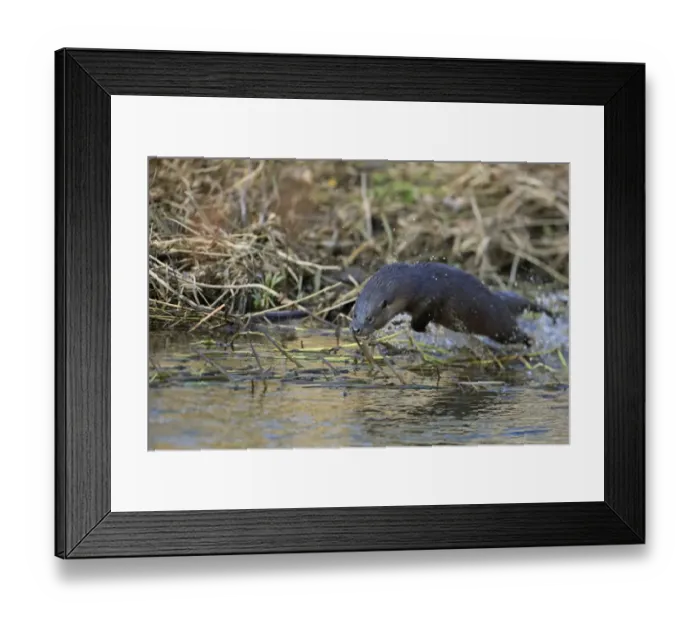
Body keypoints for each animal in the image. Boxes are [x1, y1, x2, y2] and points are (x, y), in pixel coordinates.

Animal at [350, 262, 552, 347]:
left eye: (370, 317)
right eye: (354, 314)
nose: (356, 329)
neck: (417, 283)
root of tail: (499, 300)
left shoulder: (431, 299)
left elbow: (419, 322)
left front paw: (424, 329)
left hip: (501, 326)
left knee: (515, 334)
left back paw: (530, 342)